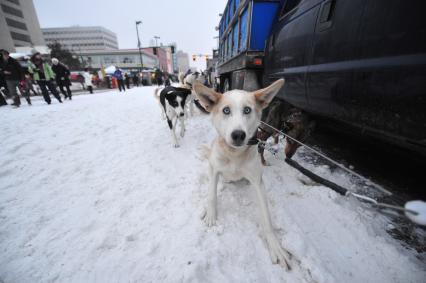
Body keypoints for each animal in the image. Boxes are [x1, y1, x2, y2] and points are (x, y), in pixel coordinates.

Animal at [194, 79, 292, 268]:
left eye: (247, 110)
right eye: (226, 110)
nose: (238, 134)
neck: (234, 154)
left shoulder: (258, 182)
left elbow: (266, 219)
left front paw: (275, 246)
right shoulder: (214, 170)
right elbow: (211, 195)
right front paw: (211, 214)